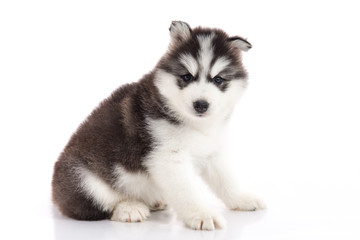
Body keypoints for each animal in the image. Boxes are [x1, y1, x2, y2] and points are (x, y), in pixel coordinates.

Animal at [52, 21, 264, 231]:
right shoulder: (168, 158)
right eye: (187, 77)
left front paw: (242, 199)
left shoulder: (213, 151)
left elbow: (227, 180)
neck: (194, 123)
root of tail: (54, 194)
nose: (201, 104)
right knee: (96, 206)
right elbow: (187, 192)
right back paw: (128, 207)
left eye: (218, 79)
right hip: (82, 179)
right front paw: (202, 214)